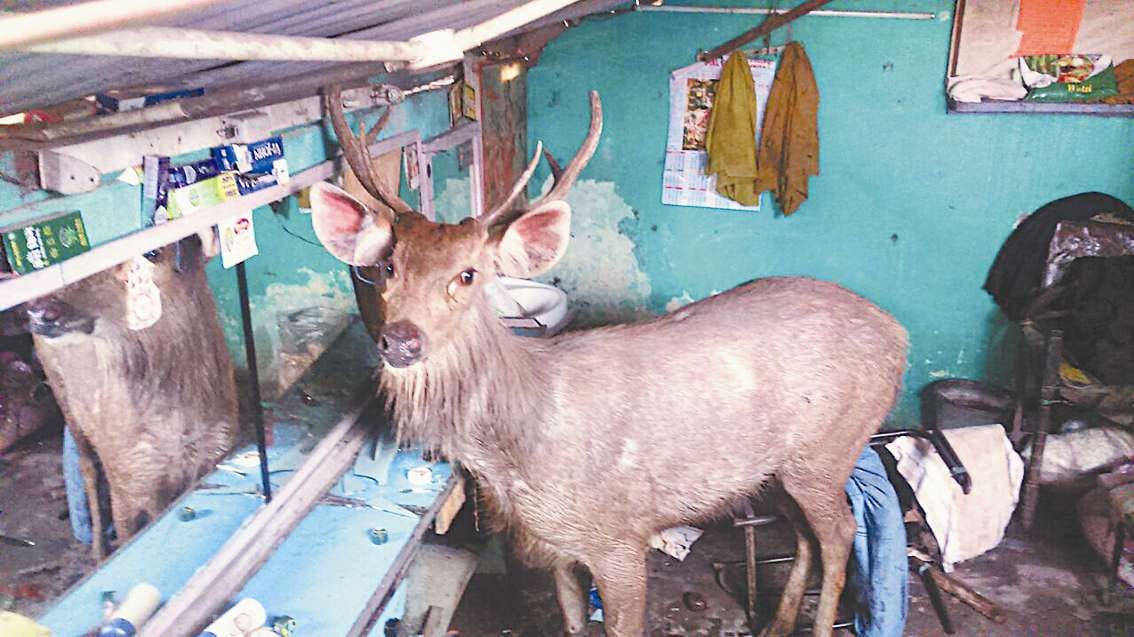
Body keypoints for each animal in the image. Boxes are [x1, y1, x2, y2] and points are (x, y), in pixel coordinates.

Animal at [311, 86, 908, 637]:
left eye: (468, 273)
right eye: (389, 266)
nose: (401, 341)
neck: (520, 452)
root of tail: (898, 335)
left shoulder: (620, 538)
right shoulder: (551, 544)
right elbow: (574, 621)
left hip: (828, 449)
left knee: (840, 534)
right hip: (778, 469)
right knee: (807, 535)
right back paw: (778, 623)